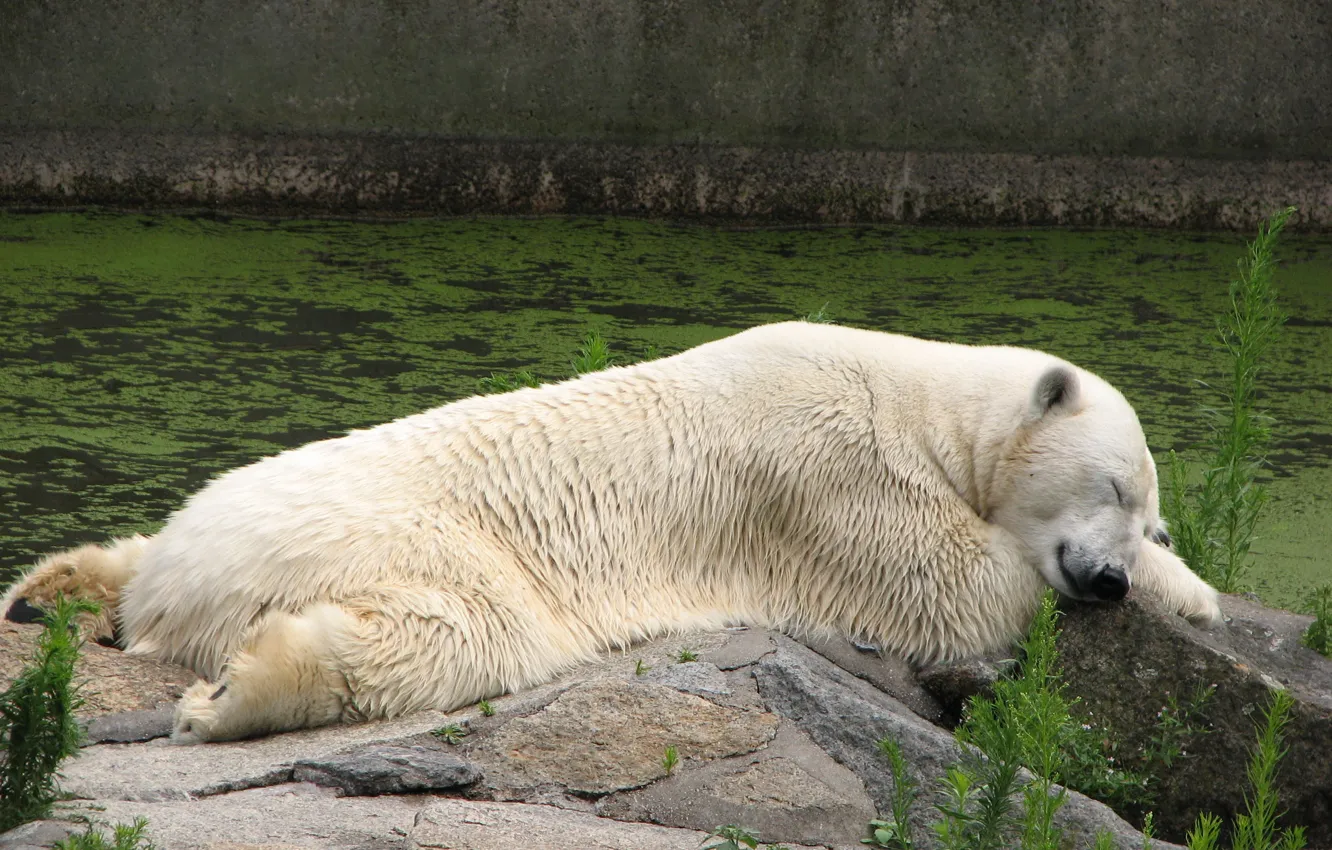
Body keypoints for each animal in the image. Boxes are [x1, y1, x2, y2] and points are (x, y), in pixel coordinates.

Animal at [0, 322, 1220, 740]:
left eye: (1148, 511)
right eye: (1113, 484)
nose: (1113, 580)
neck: (922, 399)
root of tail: (182, 586)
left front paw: (1189, 586)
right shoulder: (828, 476)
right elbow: (950, 582)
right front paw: (1187, 595)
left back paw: (48, 587)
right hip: (389, 533)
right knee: (460, 631)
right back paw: (231, 694)